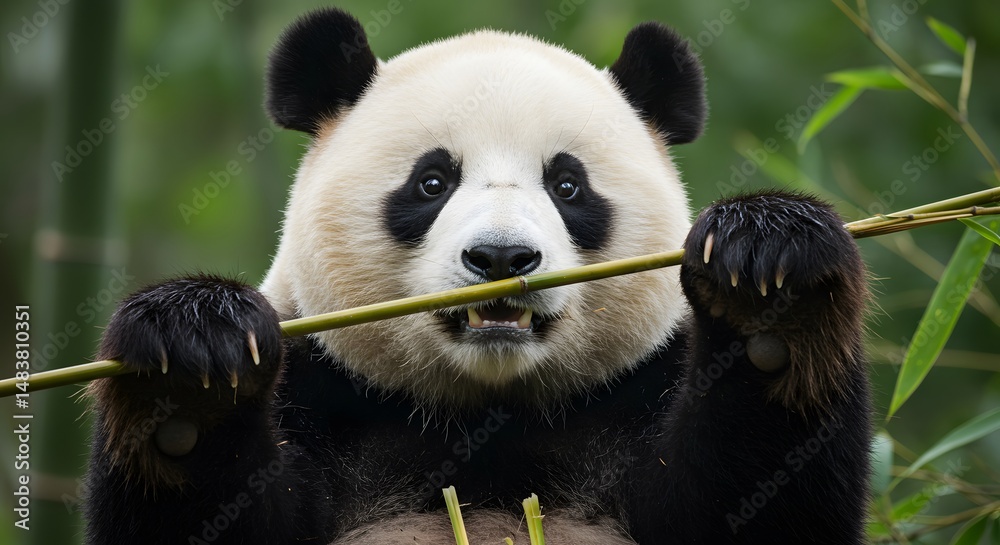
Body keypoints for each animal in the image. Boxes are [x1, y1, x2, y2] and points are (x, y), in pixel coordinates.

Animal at [84, 7, 872, 545]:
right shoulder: (323, 392)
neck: (487, 414)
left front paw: (768, 276)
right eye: (432, 182)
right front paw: (192, 363)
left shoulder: (638, 391)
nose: (500, 259)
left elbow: (757, 499)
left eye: (568, 186)